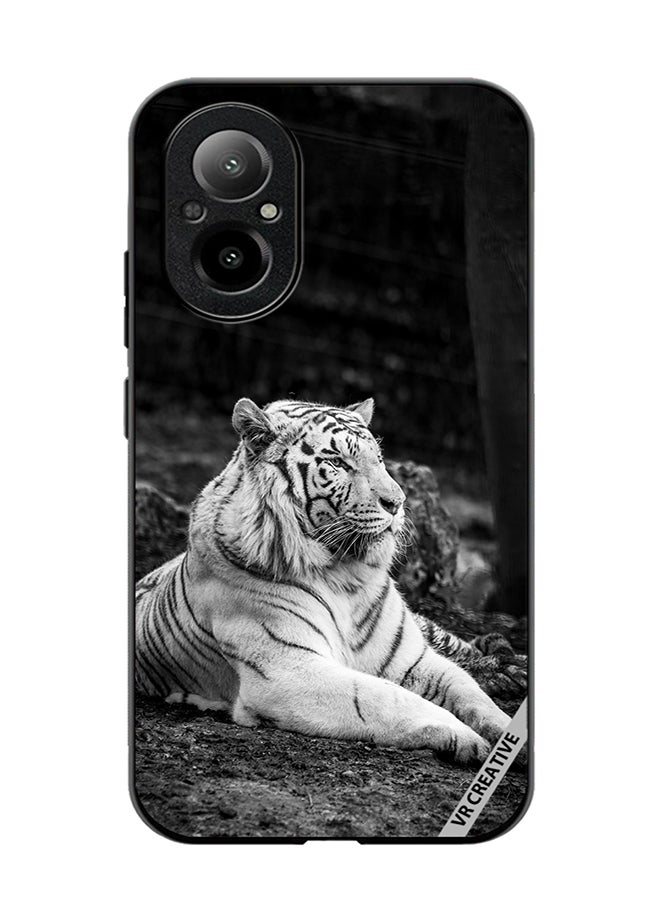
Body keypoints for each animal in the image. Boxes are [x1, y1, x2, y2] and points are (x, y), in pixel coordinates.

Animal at [135, 397, 512, 766]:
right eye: (338, 462)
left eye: (378, 459)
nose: (398, 502)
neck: (345, 575)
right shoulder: (288, 671)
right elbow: (386, 697)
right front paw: (465, 737)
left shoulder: (410, 658)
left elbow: (466, 688)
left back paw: (509, 667)